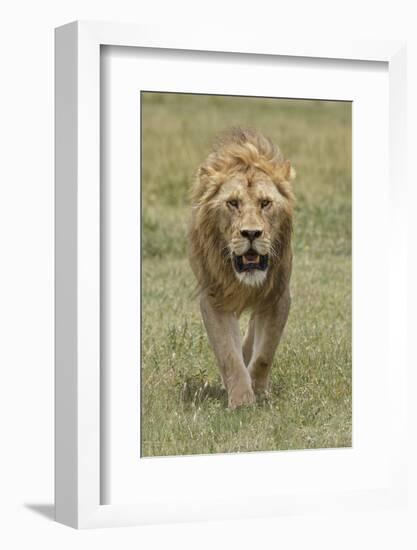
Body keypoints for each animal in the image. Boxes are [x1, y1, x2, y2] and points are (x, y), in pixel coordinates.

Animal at [187, 126, 294, 410]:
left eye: (265, 203)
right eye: (233, 203)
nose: (251, 233)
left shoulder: (278, 296)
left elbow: (264, 353)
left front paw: (258, 391)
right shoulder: (214, 299)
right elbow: (228, 355)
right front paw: (242, 401)